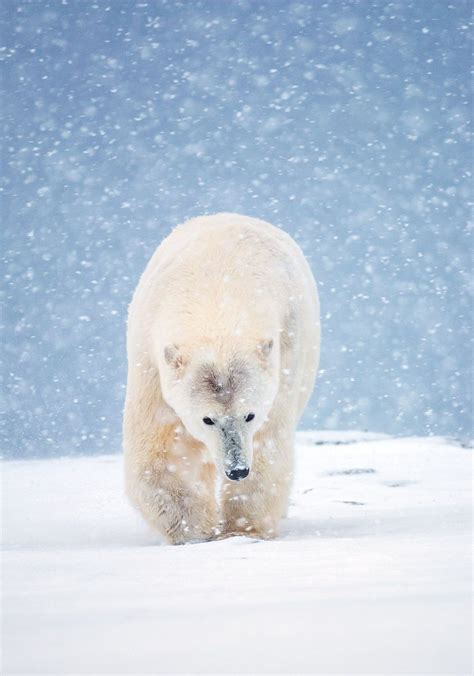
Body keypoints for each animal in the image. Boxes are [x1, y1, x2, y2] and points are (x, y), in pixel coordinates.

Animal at [124, 214, 320, 548]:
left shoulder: (285, 351)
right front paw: (193, 530)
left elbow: (268, 446)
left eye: (250, 414)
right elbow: (165, 449)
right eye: (207, 419)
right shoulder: (149, 359)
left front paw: (241, 529)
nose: (237, 469)